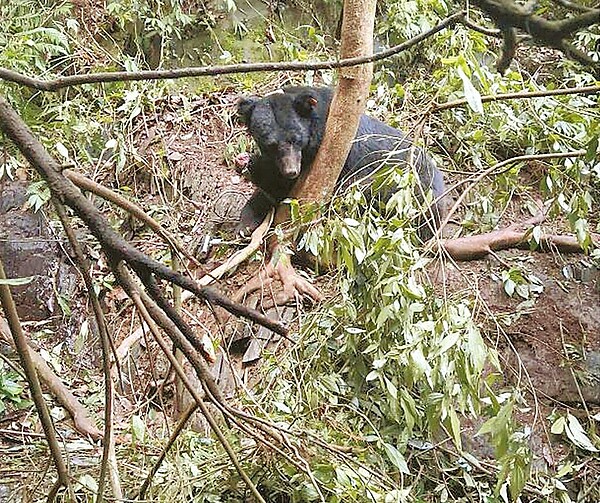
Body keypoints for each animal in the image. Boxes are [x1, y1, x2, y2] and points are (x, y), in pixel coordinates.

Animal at [237, 86, 442, 238]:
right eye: (270, 144)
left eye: (295, 139)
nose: (291, 171)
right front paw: (246, 223)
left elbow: (287, 191)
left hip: (402, 189)